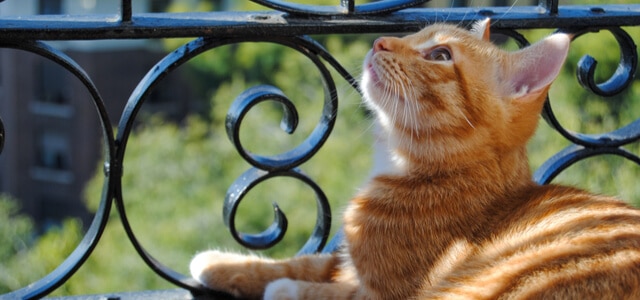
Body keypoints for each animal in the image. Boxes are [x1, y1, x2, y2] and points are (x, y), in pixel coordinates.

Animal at [189, 19, 640, 298]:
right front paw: (217, 263)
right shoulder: (346, 261)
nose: (380, 42)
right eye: (416, 35)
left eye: (440, 55)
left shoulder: (375, 292)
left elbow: (316, 287)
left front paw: (285, 290)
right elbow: (300, 263)